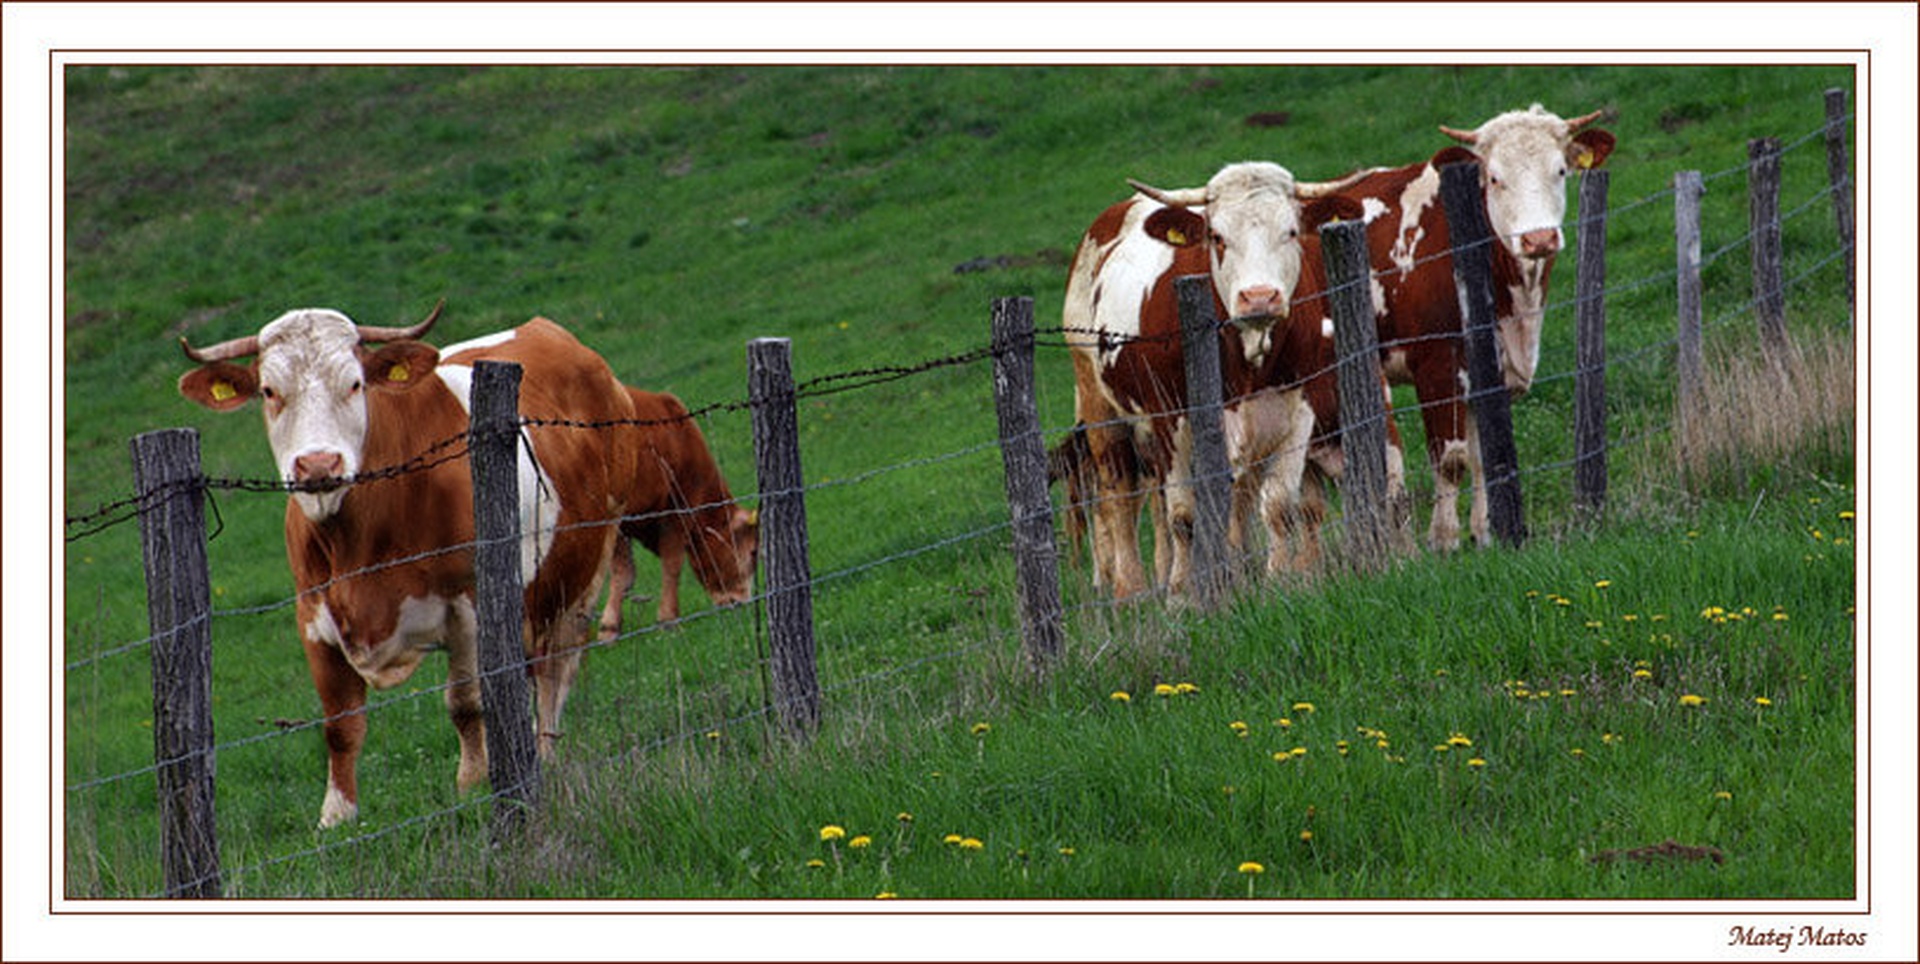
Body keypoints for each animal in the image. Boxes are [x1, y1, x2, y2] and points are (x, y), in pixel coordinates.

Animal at [177, 305, 636, 828]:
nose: (318, 464)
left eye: (355, 384)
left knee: (556, 668)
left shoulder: (470, 606)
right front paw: (336, 815)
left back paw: (544, 751)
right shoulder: (313, 618)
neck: (357, 542)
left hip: (583, 568)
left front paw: (472, 783)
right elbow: (340, 724)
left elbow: (466, 704)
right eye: (270, 391)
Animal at [1064, 161, 1401, 599]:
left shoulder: (1297, 411)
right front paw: (1181, 597)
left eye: (1291, 231)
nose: (1259, 297)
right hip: (1099, 404)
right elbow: (1183, 516)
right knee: (1119, 496)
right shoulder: (1171, 419)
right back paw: (1130, 591)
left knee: (1237, 501)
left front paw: (1277, 582)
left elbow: (1279, 507)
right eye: (1218, 237)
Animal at [1326, 104, 1615, 550]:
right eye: (1494, 178)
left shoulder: (1489, 368)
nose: (1538, 239)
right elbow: (1452, 459)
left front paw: (1486, 532)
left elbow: (1484, 457)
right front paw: (1444, 540)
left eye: (1560, 170)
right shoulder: (1437, 363)